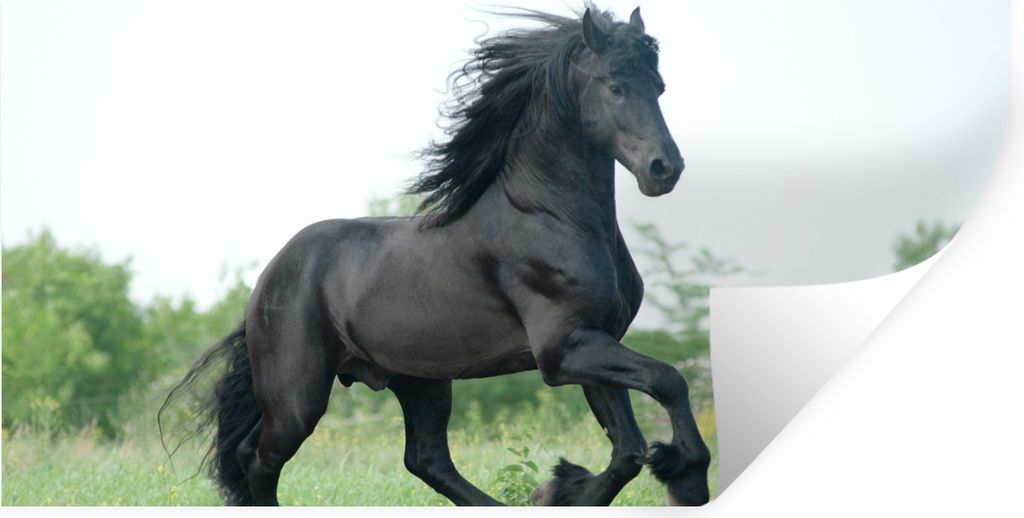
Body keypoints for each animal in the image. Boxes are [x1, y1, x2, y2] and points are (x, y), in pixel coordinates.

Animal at [160, 5, 710, 506]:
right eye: (615, 86)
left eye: (658, 87)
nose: (665, 168)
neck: (548, 216)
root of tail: (269, 277)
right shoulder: (564, 349)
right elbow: (668, 381)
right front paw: (685, 476)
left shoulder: (595, 340)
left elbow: (628, 450)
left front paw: (559, 488)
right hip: (298, 396)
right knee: (259, 459)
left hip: (420, 381)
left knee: (425, 459)